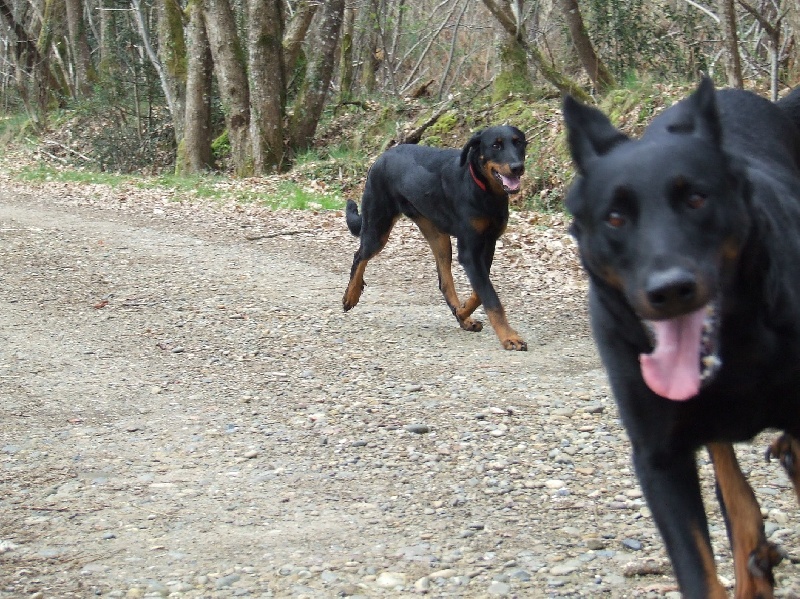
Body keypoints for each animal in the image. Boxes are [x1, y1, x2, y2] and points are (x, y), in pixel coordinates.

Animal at [340, 126, 528, 352]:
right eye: (496, 145)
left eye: (519, 143)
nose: (517, 168)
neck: (482, 189)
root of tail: (381, 157)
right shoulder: (469, 252)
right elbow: (491, 298)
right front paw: (510, 337)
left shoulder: (488, 244)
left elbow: (479, 293)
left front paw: (463, 313)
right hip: (378, 227)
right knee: (359, 256)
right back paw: (351, 294)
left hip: (438, 237)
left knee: (444, 282)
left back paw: (462, 317)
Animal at [564, 77, 800, 596]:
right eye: (615, 217)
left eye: (696, 199)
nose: (670, 290)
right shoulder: (659, 458)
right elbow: (698, 571)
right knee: (734, 490)